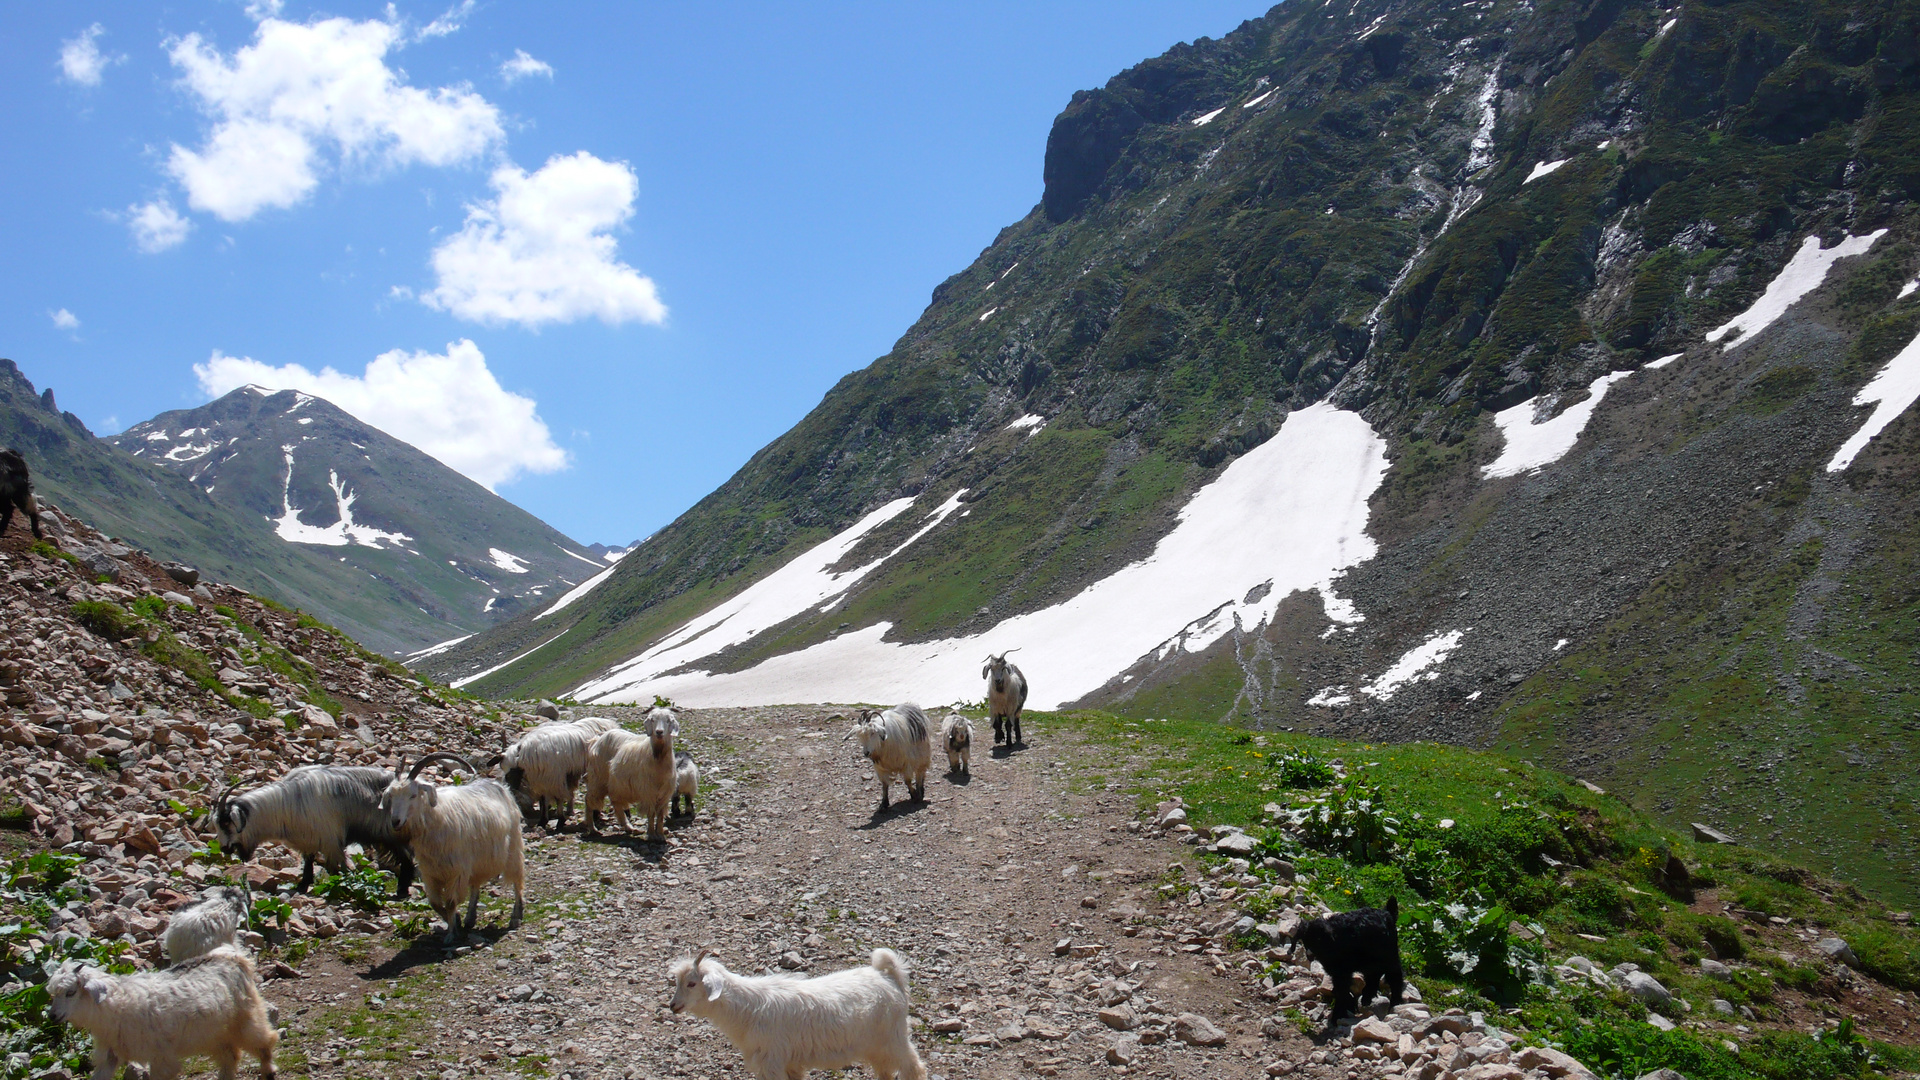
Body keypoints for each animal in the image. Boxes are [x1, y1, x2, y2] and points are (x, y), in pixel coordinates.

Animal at [47, 945, 278, 1068]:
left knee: (264, 1043)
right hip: (215, 1034)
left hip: (245, 1018)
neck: (117, 1006)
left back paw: (269, 1070)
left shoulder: (162, 1057)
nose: (52, 1016)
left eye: (70, 992)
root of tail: (233, 956)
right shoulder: (110, 1055)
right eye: (52, 994)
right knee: (230, 1057)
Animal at [378, 753, 526, 937]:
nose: (395, 821)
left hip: (512, 847)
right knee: (475, 885)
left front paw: (451, 934)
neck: (436, 816)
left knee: (517, 880)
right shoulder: (430, 873)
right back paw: (470, 918)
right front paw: (455, 920)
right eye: (391, 797)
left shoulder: (456, 870)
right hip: (477, 860)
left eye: (412, 795)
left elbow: (449, 902)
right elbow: (435, 903)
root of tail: (500, 787)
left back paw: (516, 915)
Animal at [668, 941, 921, 1076]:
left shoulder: (771, 1060)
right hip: (876, 1046)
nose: (673, 1006)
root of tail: (890, 977)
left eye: (692, 983)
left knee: (914, 1067)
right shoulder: (789, 1062)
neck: (747, 1010)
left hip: (893, 1038)